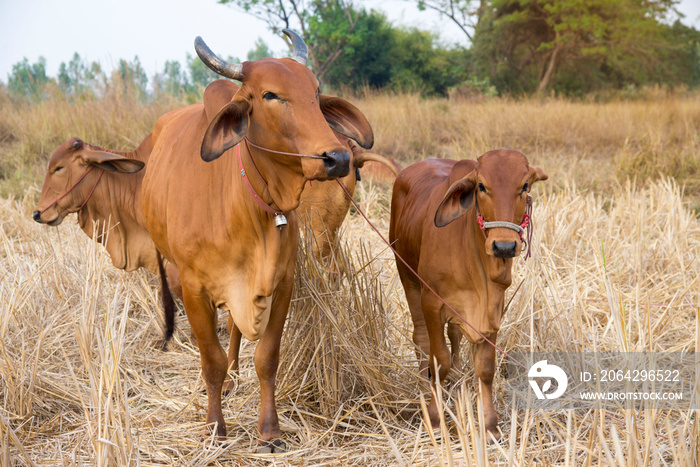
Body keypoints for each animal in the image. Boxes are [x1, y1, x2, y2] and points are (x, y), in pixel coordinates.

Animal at [140, 30, 374, 454]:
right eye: (270, 95)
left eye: (316, 91)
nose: (337, 158)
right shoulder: (195, 290)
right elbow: (210, 361)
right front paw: (215, 428)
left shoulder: (282, 283)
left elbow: (267, 358)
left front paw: (269, 430)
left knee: (235, 331)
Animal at [388, 151, 548, 442]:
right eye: (481, 186)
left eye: (525, 186)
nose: (504, 246)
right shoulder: (432, 303)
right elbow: (439, 361)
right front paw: (435, 419)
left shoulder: (493, 309)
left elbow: (485, 368)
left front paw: (490, 425)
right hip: (407, 276)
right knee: (421, 339)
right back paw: (423, 386)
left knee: (454, 335)